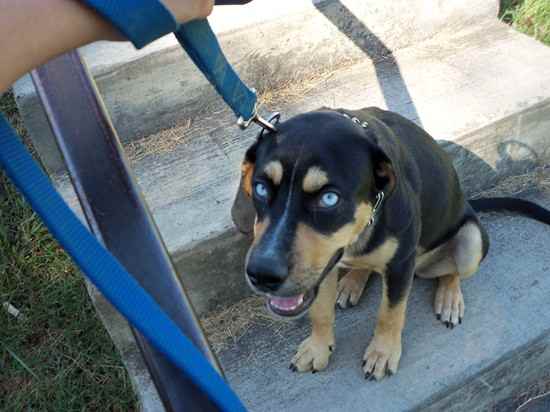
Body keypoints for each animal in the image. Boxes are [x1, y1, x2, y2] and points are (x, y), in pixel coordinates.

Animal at [232, 106, 550, 380]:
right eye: (260, 188)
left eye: (329, 198)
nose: (262, 274)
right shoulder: (324, 269)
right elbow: (320, 311)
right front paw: (318, 348)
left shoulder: (400, 264)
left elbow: (390, 313)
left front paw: (382, 354)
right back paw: (353, 281)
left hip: (469, 240)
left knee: (453, 272)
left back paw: (449, 298)